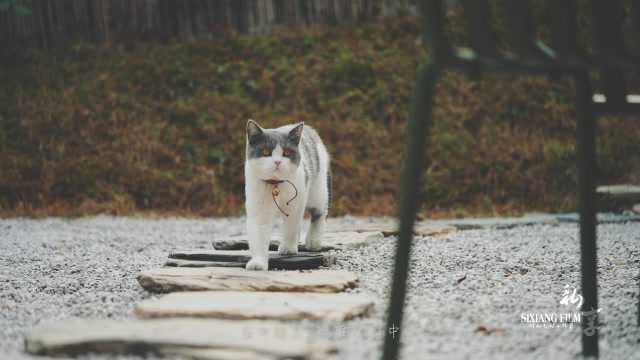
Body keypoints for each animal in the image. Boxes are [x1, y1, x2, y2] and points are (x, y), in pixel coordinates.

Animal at [244, 119, 332, 272]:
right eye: (266, 152)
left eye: (287, 152)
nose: (277, 162)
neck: (275, 185)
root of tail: (310, 129)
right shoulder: (258, 208)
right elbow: (259, 235)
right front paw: (258, 263)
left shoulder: (295, 205)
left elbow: (291, 227)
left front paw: (288, 248)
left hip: (317, 191)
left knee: (319, 213)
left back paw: (313, 242)